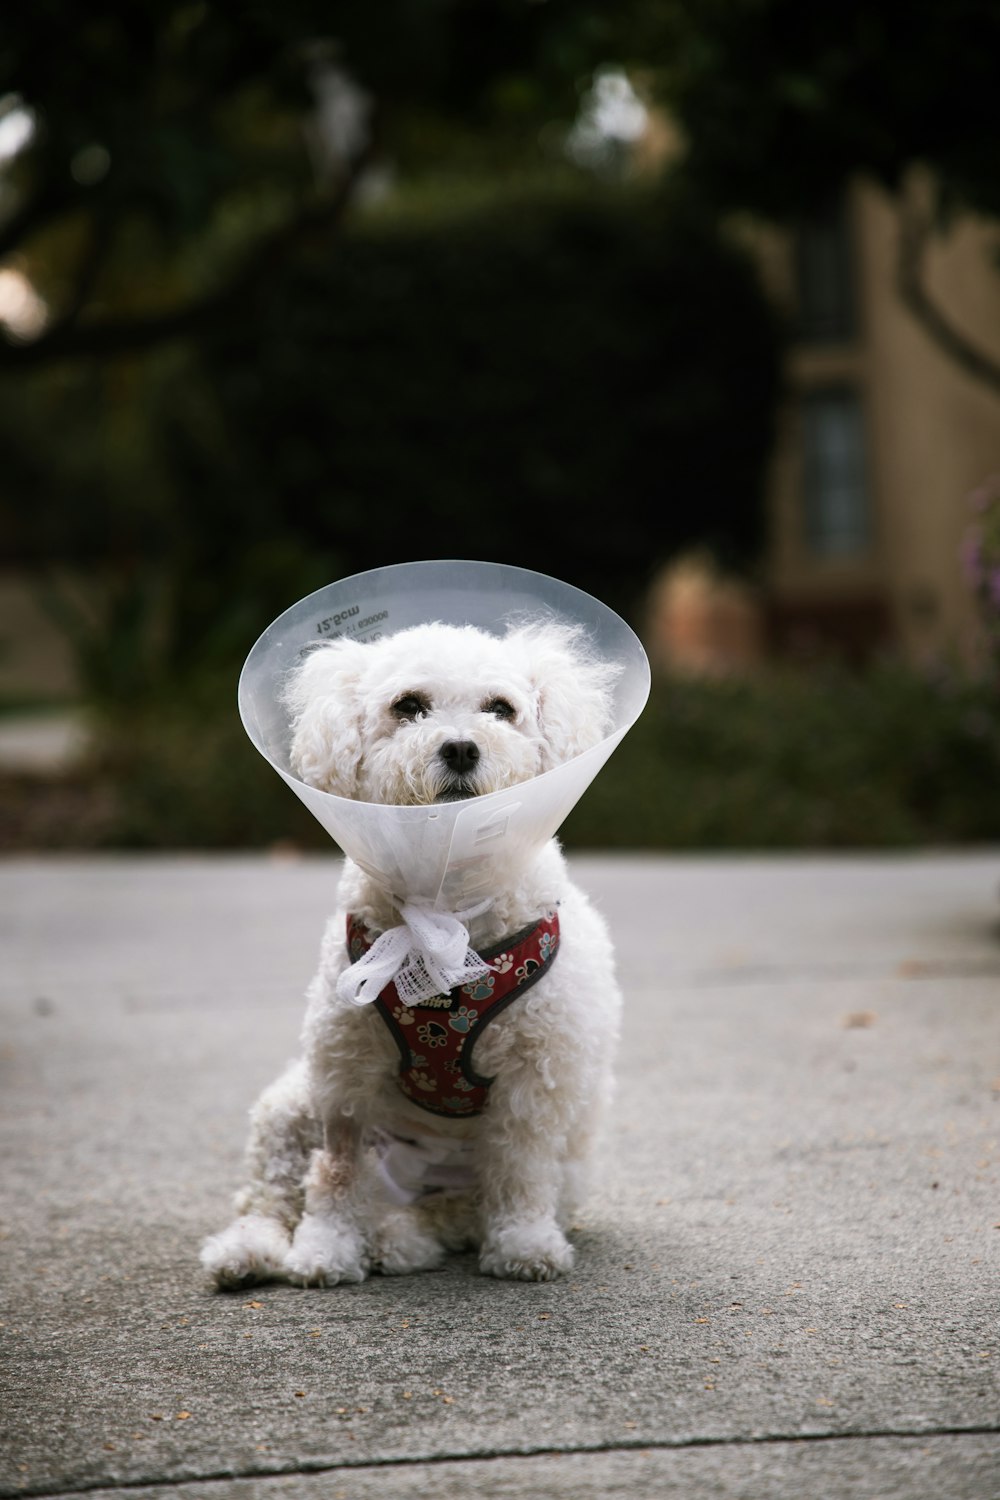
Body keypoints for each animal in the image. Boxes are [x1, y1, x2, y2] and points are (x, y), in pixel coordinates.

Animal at [200, 615, 626, 1284]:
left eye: (500, 709)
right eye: (409, 706)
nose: (460, 748)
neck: (443, 912)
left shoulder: (535, 1080)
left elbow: (523, 1170)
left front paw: (525, 1245)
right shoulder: (345, 1073)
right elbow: (336, 1173)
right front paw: (325, 1251)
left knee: (445, 1214)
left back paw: (398, 1240)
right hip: (289, 1107)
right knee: (270, 1197)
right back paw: (248, 1252)